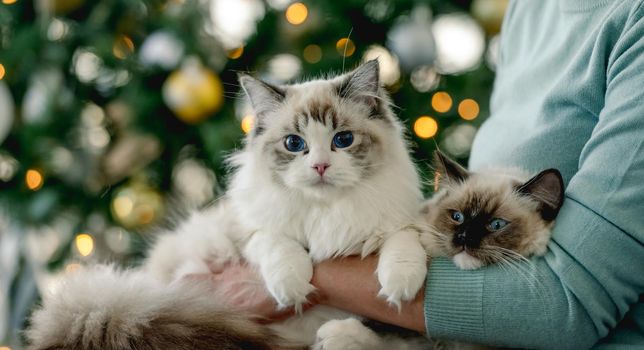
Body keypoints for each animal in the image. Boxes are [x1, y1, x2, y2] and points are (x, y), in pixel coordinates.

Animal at [316, 151, 564, 350]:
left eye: (496, 224)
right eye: (457, 217)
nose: (464, 238)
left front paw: (335, 337)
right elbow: (386, 328)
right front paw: (331, 337)